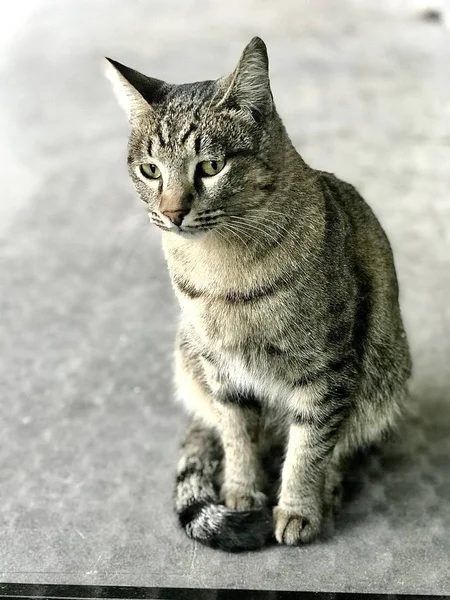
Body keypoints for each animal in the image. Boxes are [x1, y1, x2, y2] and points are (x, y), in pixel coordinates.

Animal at [104, 37, 412, 552]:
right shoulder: (221, 371)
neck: (222, 271)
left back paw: (329, 486)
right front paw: (241, 492)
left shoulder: (327, 370)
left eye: (211, 166)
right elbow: (236, 434)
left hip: (384, 382)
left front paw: (298, 509)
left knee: (341, 443)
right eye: (150, 171)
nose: (172, 212)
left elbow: (309, 447)